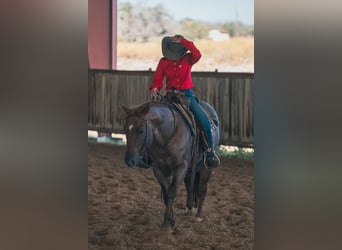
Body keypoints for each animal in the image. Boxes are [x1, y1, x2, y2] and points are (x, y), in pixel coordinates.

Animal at [121, 98, 220, 229]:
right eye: (125, 129)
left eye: (140, 131)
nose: (129, 160)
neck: (168, 135)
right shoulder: (159, 169)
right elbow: (167, 194)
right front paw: (168, 221)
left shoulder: (181, 167)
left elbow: (172, 192)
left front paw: (168, 223)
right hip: (190, 170)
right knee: (190, 186)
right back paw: (189, 209)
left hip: (205, 167)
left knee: (202, 189)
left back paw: (199, 215)